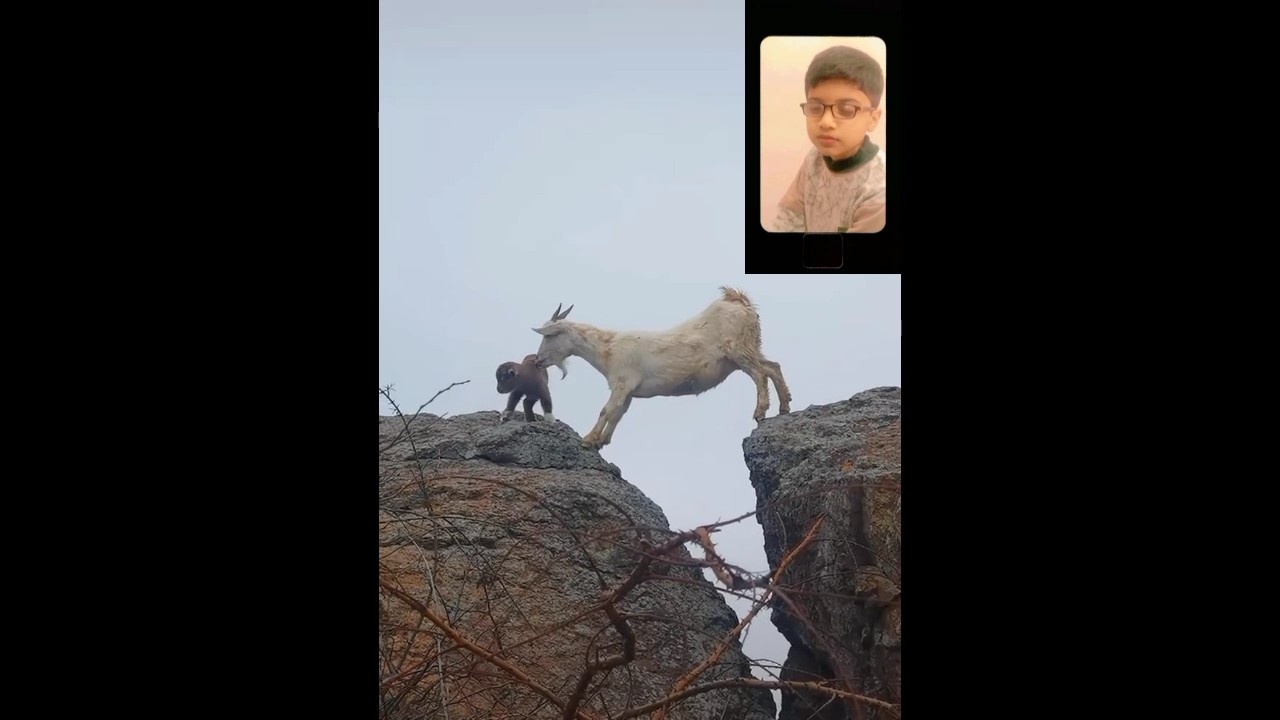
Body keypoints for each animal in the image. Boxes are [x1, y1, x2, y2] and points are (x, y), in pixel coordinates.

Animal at [531, 287, 792, 449]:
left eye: (549, 336)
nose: (537, 360)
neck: (607, 348)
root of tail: (738, 300)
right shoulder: (628, 392)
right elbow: (618, 414)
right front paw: (602, 441)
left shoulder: (622, 382)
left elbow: (607, 410)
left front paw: (588, 439)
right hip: (746, 351)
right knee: (773, 367)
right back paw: (784, 406)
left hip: (738, 349)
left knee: (760, 374)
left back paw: (761, 412)